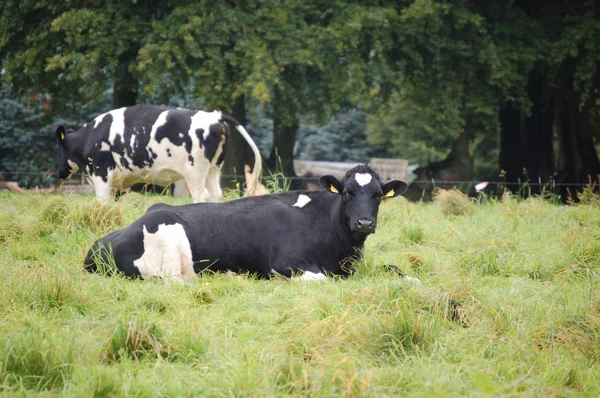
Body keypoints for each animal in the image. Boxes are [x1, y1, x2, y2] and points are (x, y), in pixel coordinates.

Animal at [55, 103, 260, 202]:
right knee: (216, 195)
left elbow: (102, 202)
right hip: (213, 169)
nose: (59, 172)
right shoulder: (121, 182)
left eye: (59, 148)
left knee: (202, 196)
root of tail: (214, 116)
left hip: (195, 172)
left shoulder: (101, 173)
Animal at [83, 165, 408, 280]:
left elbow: (399, 271)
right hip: (166, 262)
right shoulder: (286, 263)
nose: (364, 223)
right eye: (347, 192)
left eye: (378, 195)